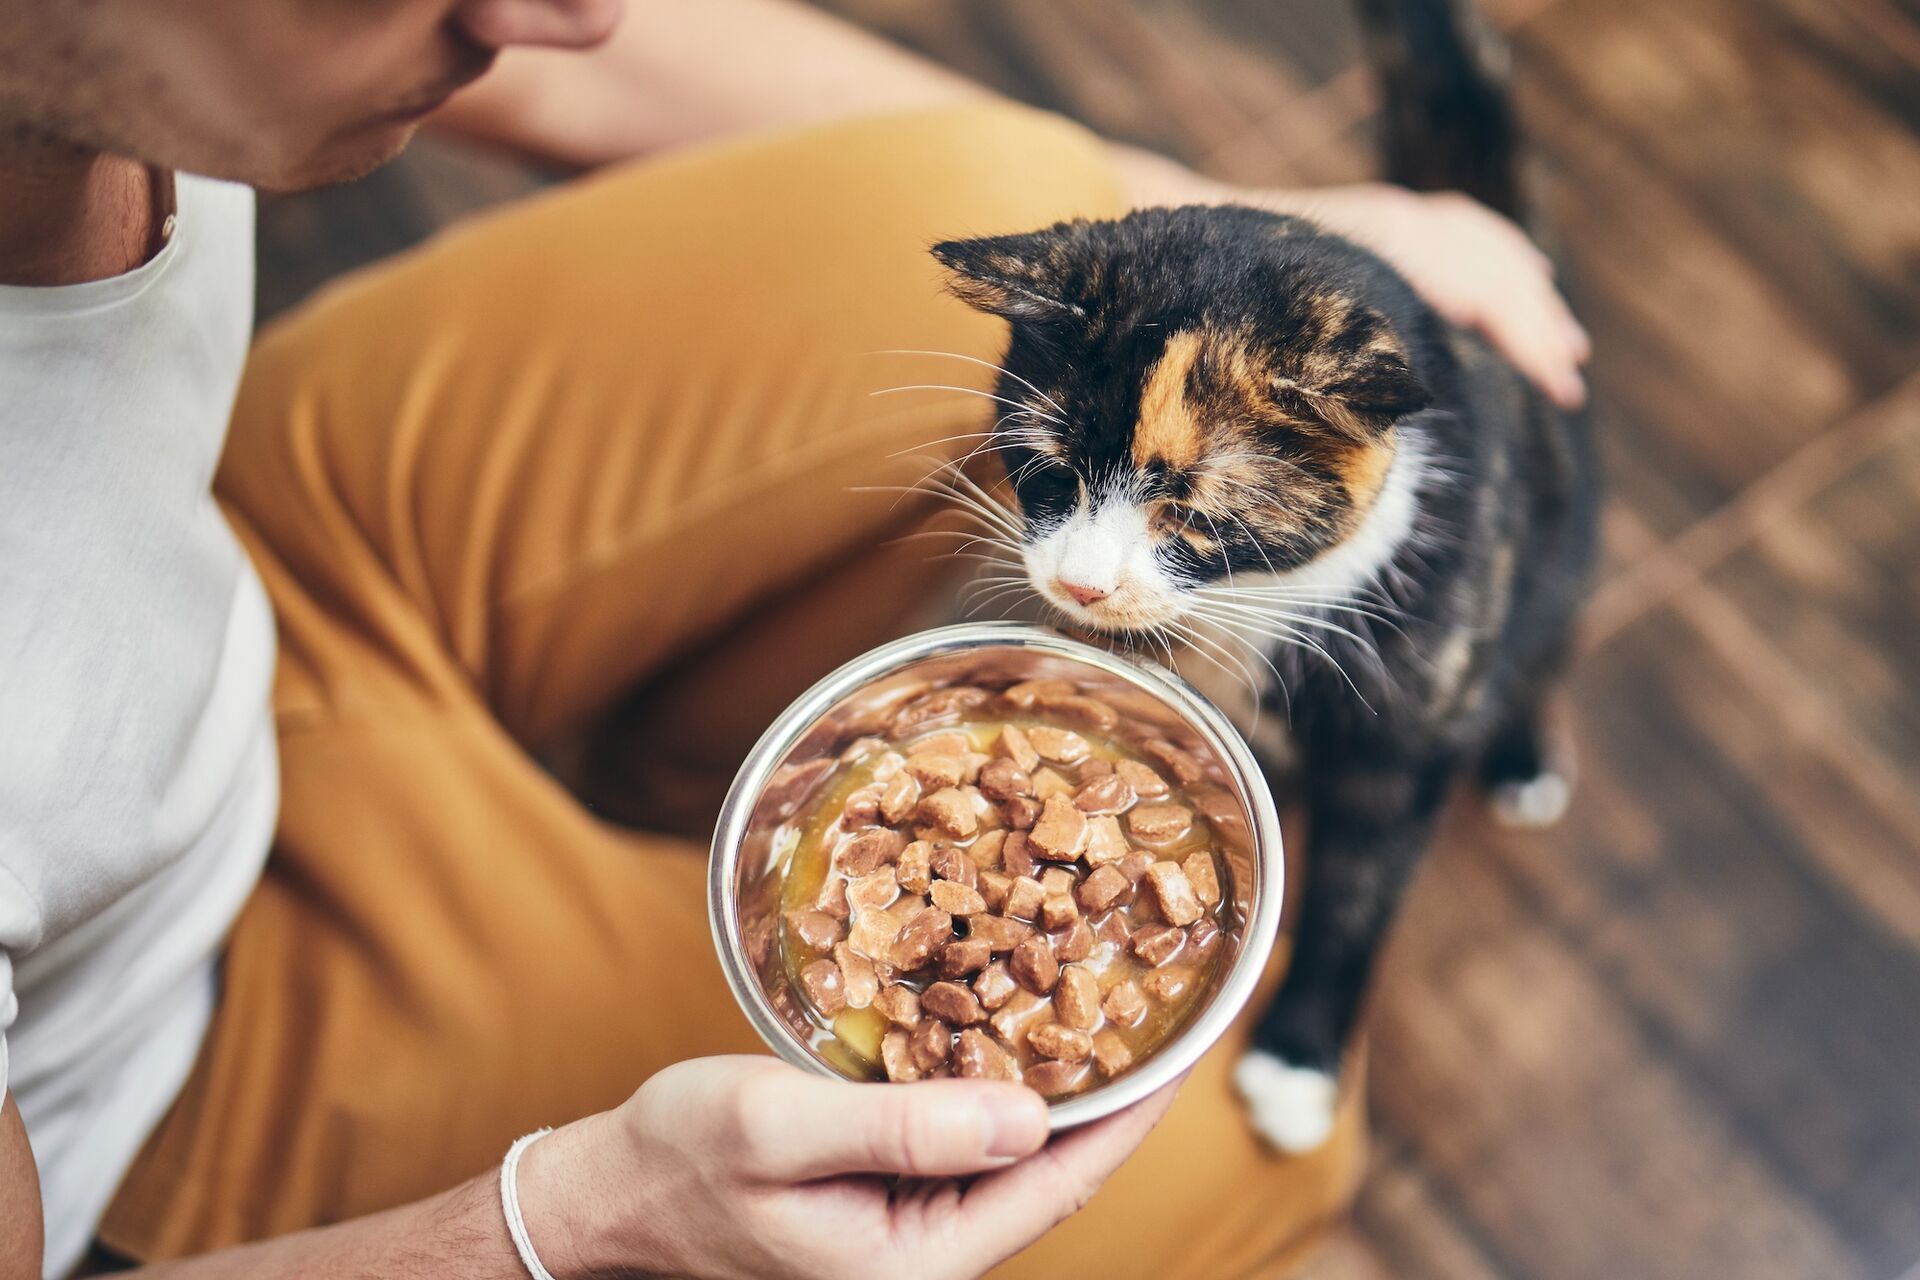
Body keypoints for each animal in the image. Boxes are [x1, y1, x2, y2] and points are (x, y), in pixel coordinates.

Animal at [921, 0, 1597, 1159]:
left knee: (1544, 647)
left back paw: (1520, 755)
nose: (1083, 589)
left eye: (1192, 514)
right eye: (1048, 471)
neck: (1249, 610)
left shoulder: (1402, 730)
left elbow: (1357, 892)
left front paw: (1298, 1064)